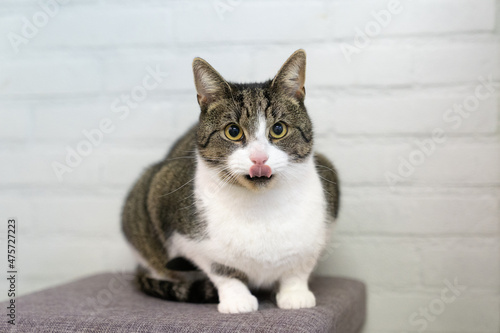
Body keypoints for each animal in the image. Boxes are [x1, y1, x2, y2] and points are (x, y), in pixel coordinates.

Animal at [121, 48, 340, 312]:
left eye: (278, 129)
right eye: (233, 131)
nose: (259, 159)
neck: (262, 209)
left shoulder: (321, 221)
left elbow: (298, 268)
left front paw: (295, 294)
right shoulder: (184, 232)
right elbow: (221, 270)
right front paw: (237, 299)